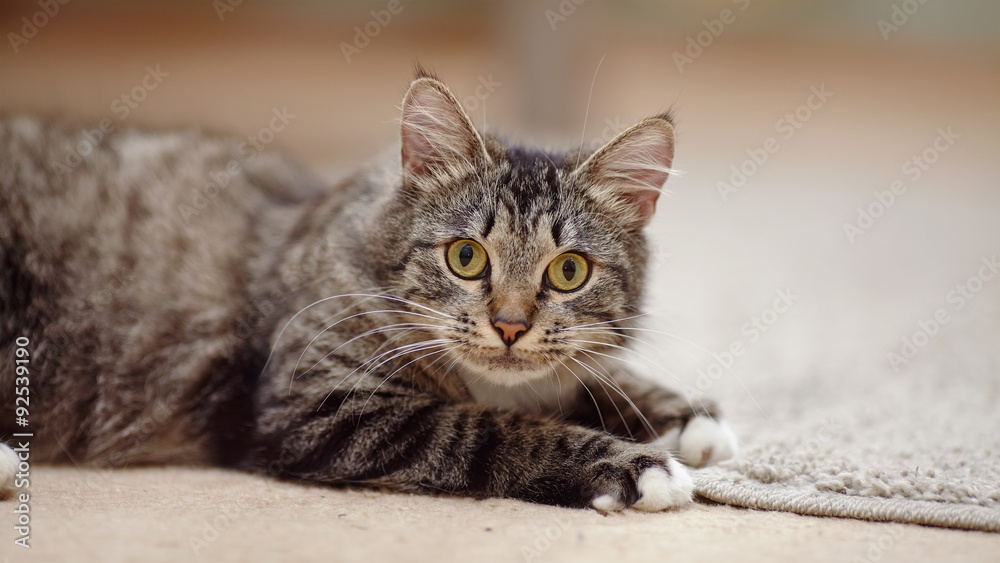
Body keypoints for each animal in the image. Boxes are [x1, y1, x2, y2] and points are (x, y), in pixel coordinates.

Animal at [0, 70, 736, 512]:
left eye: (568, 272)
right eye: (465, 257)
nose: (509, 325)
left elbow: (602, 381)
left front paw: (692, 422)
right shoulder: (321, 406)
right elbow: (495, 430)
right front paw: (638, 466)